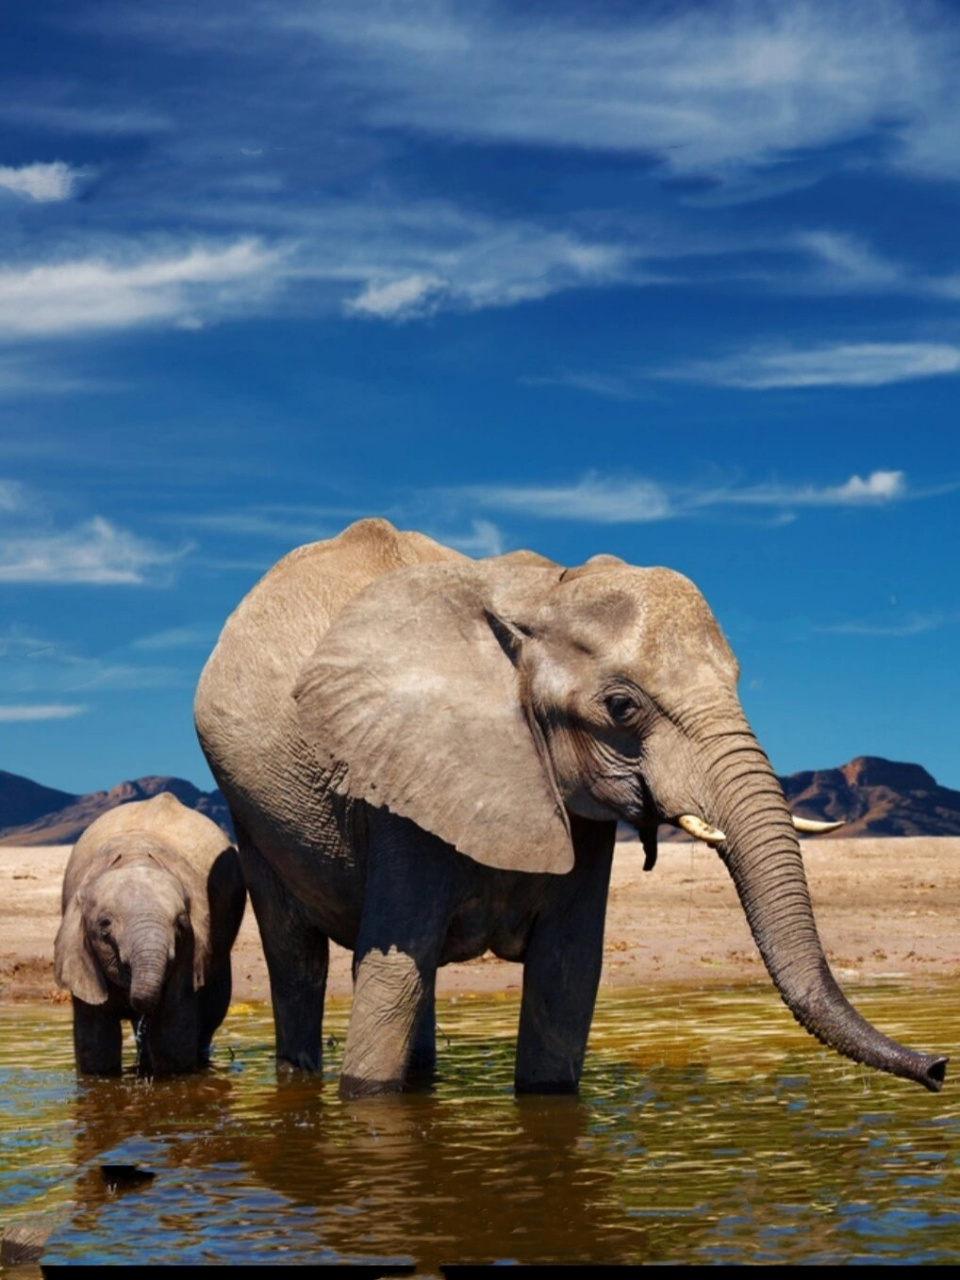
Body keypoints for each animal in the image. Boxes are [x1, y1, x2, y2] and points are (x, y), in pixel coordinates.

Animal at [54, 792, 246, 1076]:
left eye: (180, 925)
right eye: (104, 925)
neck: (135, 858)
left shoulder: (191, 950)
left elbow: (171, 1039)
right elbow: (96, 1047)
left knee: (212, 1012)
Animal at [194, 517, 947, 1099]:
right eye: (621, 706)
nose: (939, 1066)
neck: (538, 598)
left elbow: (566, 975)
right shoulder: (403, 781)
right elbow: (389, 976)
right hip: (252, 814)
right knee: (299, 962)